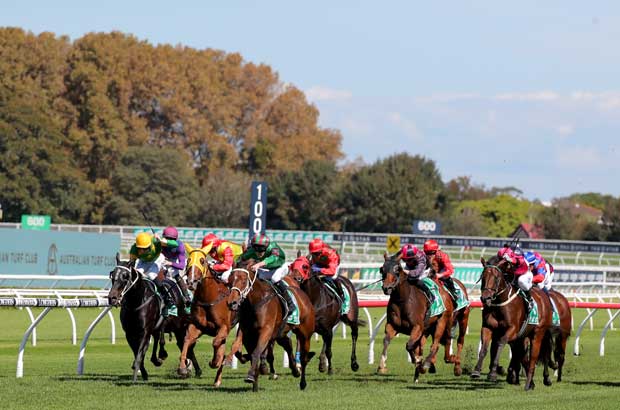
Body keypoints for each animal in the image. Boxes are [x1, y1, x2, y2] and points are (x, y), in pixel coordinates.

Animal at [177, 247, 242, 388]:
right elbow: (187, 340)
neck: (208, 298)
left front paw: (215, 362)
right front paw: (183, 368)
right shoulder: (198, 326)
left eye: (202, 260)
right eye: (188, 260)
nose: (191, 281)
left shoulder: (223, 327)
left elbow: (216, 343)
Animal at [226, 260, 314, 390]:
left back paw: (302, 382)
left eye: (243, 280)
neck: (256, 302)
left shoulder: (266, 331)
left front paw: (251, 376)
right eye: (230, 279)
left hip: (305, 334)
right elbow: (243, 351)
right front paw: (255, 380)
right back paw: (294, 370)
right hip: (280, 332)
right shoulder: (247, 333)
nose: (232, 303)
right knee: (288, 344)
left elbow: (256, 352)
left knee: (304, 358)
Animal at [376, 251, 458, 382]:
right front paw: (382, 366)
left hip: (441, 322)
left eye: (397, 269)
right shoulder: (392, 326)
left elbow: (409, 346)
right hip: (427, 329)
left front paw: (418, 361)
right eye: (381, 269)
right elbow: (386, 340)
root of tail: (446, 293)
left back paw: (426, 365)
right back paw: (418, 374)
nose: (387, 288)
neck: (402, 300)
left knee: (435, 345)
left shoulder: (417, 327)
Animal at [472, 256, 556, 390]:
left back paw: (537, 381)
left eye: (496, 278)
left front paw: (493, 373)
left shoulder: (512, 330)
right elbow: (484, 348)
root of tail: (544, 297)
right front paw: (477, 370)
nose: (485, 298)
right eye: (482, 277)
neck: (500, 304)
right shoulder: (488, 327)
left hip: (538, 333)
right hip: (523, 337)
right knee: (523, 355)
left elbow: (501, 344)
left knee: (539, 355)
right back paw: (530, 381)